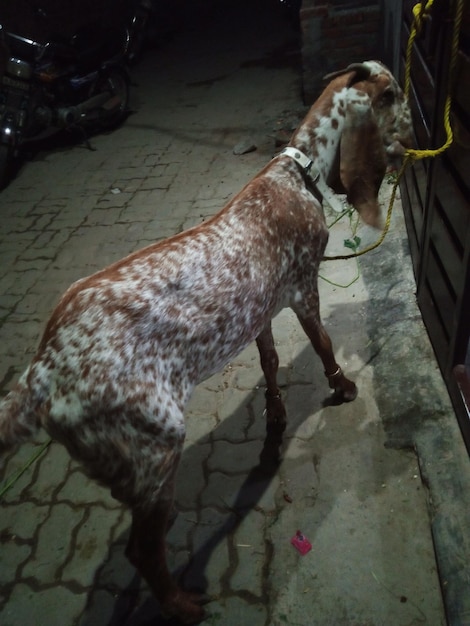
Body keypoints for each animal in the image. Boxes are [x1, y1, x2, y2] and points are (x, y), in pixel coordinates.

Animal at [0, 62, 412, 620]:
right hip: (156, 443)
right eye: (393, 94)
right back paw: (182, 604)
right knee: (141, 550)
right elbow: (324, 345)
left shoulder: (261, 310)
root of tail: (42, 374)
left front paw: (276, 415)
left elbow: (270, 361)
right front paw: (343, 388)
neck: (294, 171)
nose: (414, 133)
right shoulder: (304, 287)